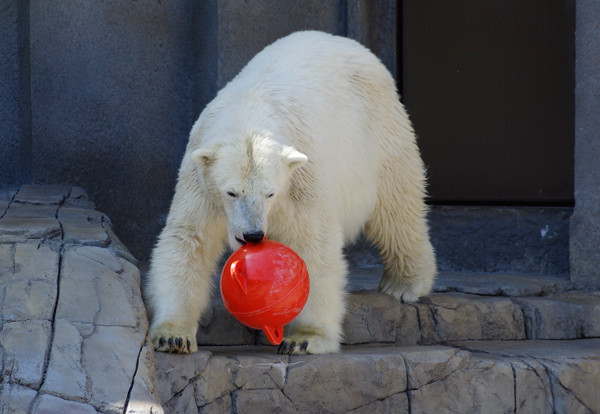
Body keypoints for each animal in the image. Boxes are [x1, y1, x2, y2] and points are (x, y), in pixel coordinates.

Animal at [145, 30, 436, 354]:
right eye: (232, 193)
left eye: (270, 194)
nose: (253, 235)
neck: (248, 110)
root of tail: (350, 44)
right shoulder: (200, 182)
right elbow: (190, 239)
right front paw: (173, 336)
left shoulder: (300, 179)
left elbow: (313, 244)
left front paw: (305, 339)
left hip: (379, 134)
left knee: (395, 207)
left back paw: (405, 283)